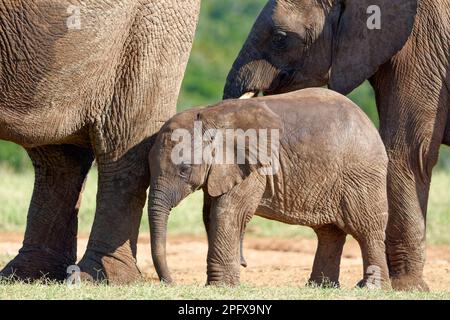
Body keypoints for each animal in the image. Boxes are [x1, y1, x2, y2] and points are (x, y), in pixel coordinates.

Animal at [149, 89, 388, 288]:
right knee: (329, 233)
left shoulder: (251, 167)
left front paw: (220, 287)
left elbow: (229, 212)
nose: (171, 283)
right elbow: (210, 213)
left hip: (361, 174)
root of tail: (368, 121)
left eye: (184, 169)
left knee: (366, 229)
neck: (209, 115)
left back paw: (370, 287)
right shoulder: (223, 170)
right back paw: (320, 287)